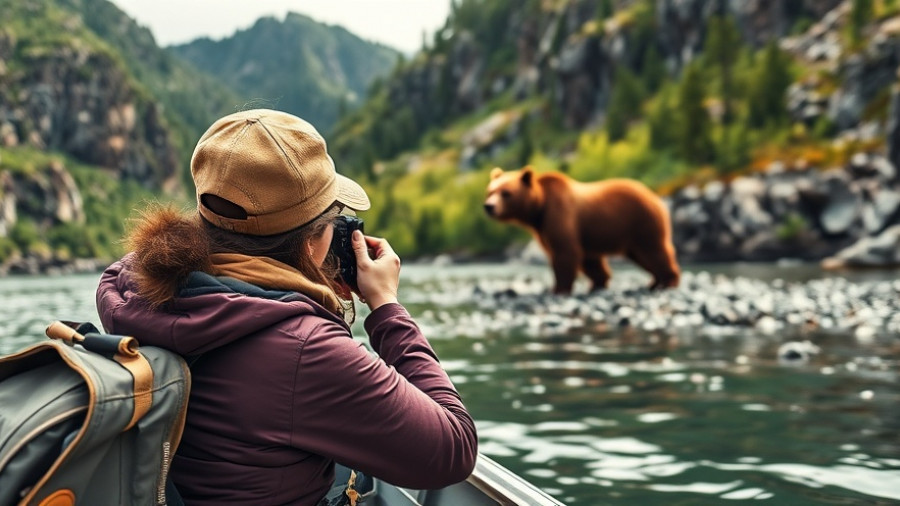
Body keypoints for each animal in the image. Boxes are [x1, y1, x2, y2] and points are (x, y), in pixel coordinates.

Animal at [484, 166, 680, 294]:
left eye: (506, 193)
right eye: (490, 191)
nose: (489, 206)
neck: (539, 209)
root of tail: (654, 195)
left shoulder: (560, 215)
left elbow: (565, 252)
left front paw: (558, 288)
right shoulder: (557, 229)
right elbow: (589, 260)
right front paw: (598, 283)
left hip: (642, 222)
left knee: (654, 251)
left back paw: (668, 281)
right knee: (642, 256)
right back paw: (654, 282)